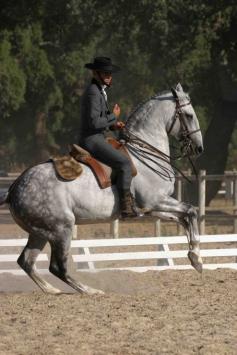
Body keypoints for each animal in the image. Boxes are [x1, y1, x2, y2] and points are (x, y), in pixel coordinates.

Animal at [0, 82, 204, 294]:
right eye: (189, 115)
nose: (199, 148)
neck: (144, 153)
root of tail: (14, 188)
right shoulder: (156, 200)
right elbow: (191, 211)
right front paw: (196, 258)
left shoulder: (152, 208)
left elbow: (184, 217)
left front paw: (194, 256)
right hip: (61, 229)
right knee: (57, 267)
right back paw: (90, 291)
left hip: (40, 232)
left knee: (26, 261)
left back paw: (53, 291)